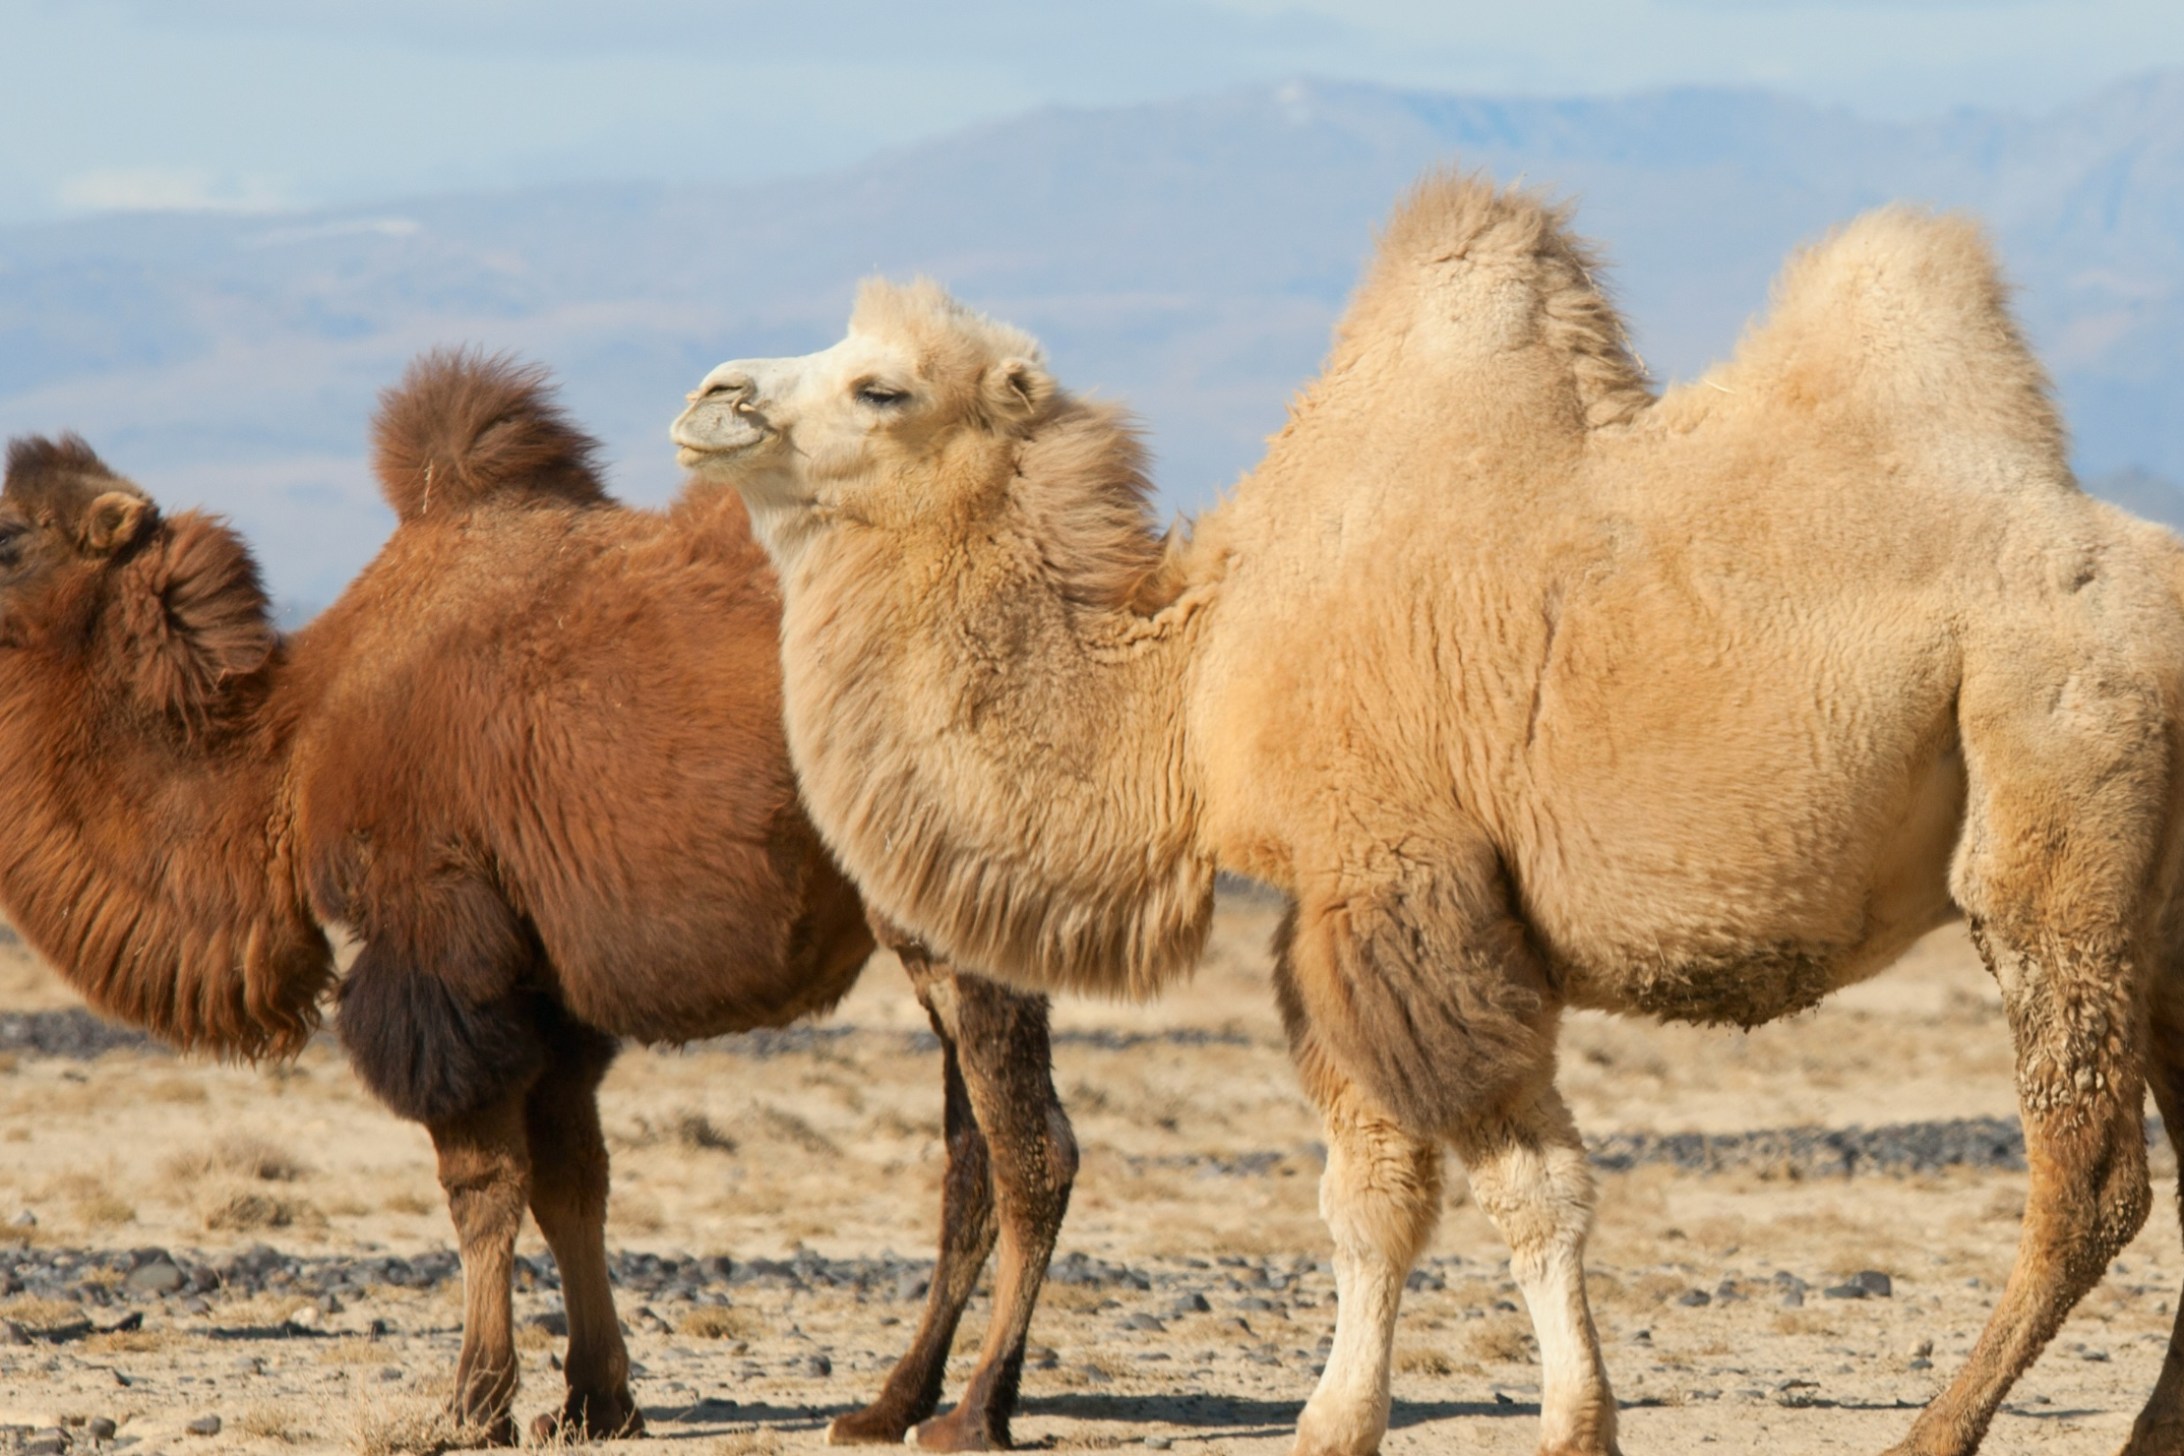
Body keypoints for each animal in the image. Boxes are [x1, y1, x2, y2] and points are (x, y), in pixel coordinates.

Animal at [0, 353, 1077, 1450]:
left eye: (8, 535)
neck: (285, 754)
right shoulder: (542, 978)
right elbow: (572, 1181)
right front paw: (597, 1400)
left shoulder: (436, 942)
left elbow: (482, 1183)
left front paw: (473, 1401)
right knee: (972, 1155)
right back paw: (889, 1403)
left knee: (1033, 1153)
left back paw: (975, 1411)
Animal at [672, 169, 2184, 1456]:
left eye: (881, 385)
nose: (710, 395)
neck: (1192, 681)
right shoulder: (1337, 914)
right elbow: (1386, 1197)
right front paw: (1390, 1416)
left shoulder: (1397, 886)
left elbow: (1493, 1185)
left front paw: (1504, 1422)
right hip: (2155, 905)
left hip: (2056, 824)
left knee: (2092, 1175)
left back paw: (1937, 1429)